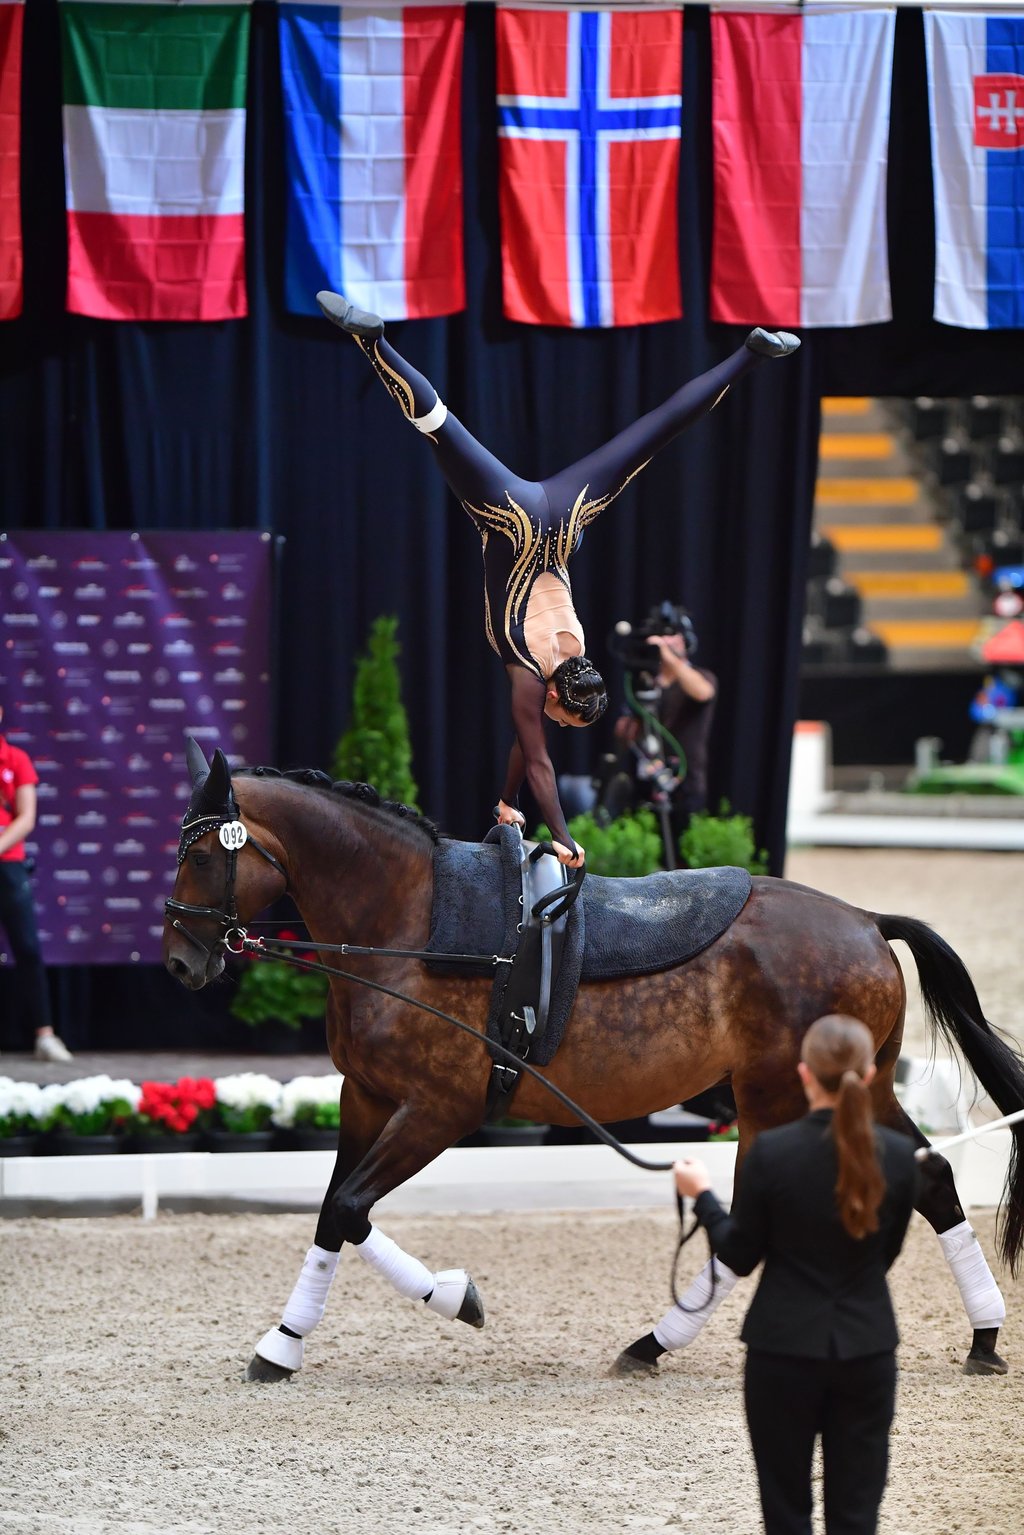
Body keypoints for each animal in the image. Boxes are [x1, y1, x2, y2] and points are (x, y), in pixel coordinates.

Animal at [161, 742, 1024, 1381]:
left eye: (200, 853)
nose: (179, 961)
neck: (409, 920)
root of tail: (866, 922)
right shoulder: (365, 1098)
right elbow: (333, 1213)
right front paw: (282, 1342)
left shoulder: (439, 1110)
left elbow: (350, 1209)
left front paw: (456, 1297)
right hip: (848, 1088)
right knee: (929, 1178)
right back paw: (983, 1335)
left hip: (777, 1096)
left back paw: (654, 1342)